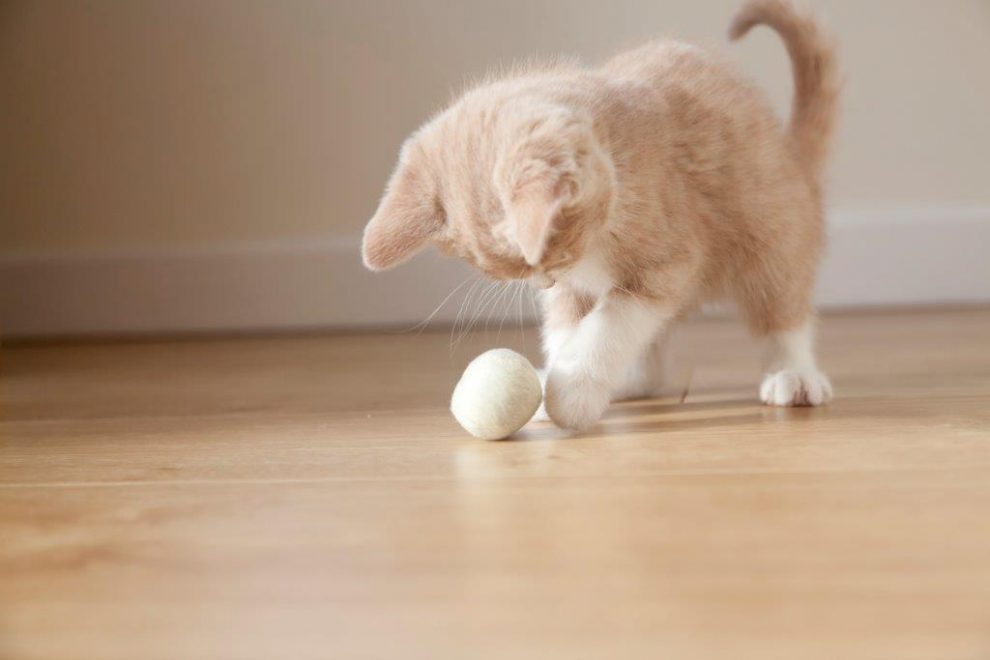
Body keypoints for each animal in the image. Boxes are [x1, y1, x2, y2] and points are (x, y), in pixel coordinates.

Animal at [360, 0, 840, 430]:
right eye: (517, 272)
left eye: (550, 257)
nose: (544, 282)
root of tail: (792, 157)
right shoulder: (573, 288)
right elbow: (565, 327)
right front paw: (554, 377)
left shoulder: (670, 262)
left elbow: (611, 326)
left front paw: (572, 390)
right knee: (654, 368)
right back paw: (629, 382)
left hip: (771, 230)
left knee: (781, 307)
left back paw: (794, 374)